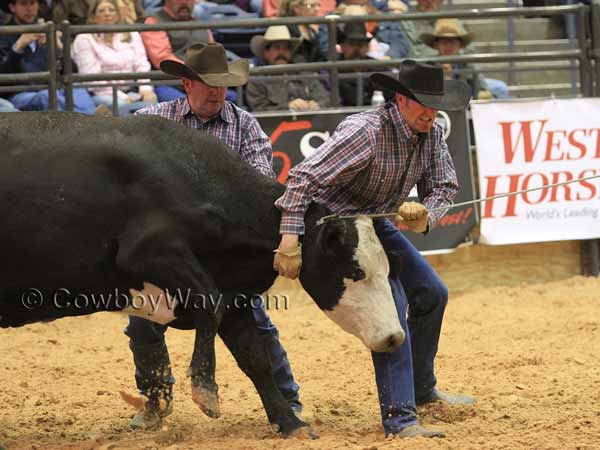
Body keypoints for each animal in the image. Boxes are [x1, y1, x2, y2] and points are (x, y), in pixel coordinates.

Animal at [0, 111, 406, 436]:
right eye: (355, 270)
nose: (394, 337)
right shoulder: (152, 252)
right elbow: (209, 306)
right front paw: (206, 391)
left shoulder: (233, 291)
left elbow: (255, 357)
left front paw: (291, 424)